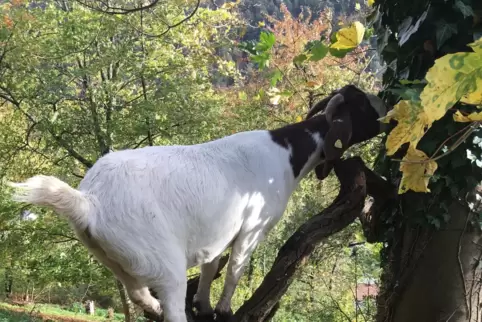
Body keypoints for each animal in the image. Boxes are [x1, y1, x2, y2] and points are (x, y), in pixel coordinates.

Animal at [9, 84, 388, 320]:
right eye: (363, 104)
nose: (387, 108)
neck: (288, 154)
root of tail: (89, 201)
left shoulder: (219, 231)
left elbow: (210, 267)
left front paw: (205, 306)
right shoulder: (253, 227)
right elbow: (234, 270)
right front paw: (223, 310)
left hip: (118, 259)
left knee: (138, 294)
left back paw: (154, 307)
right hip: (163, 259)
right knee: (172, 305)